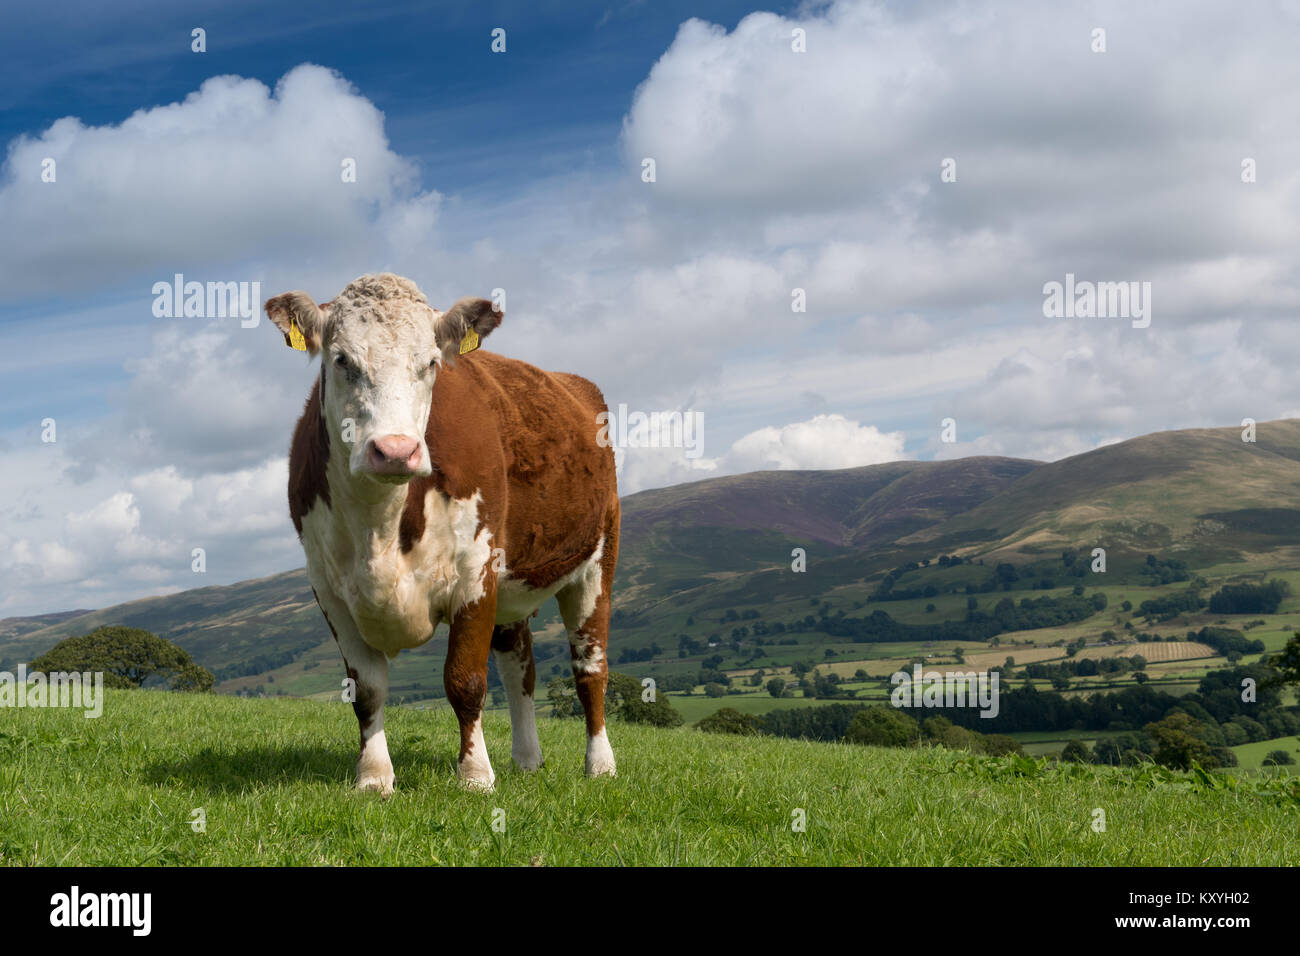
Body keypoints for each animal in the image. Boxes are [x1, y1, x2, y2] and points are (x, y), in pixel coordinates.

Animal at [265, 273, 619, 793]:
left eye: (431, 363)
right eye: (342, 359)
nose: (395, 450)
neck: (379, 530)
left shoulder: (475, 571)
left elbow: (465, 681)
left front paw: (475, 775)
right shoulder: (329, 590)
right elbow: (367, 689)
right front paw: (374, 777)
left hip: (596, 561)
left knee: (589, 667)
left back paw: (600, 764)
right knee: (520, 668)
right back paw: (527, 758)